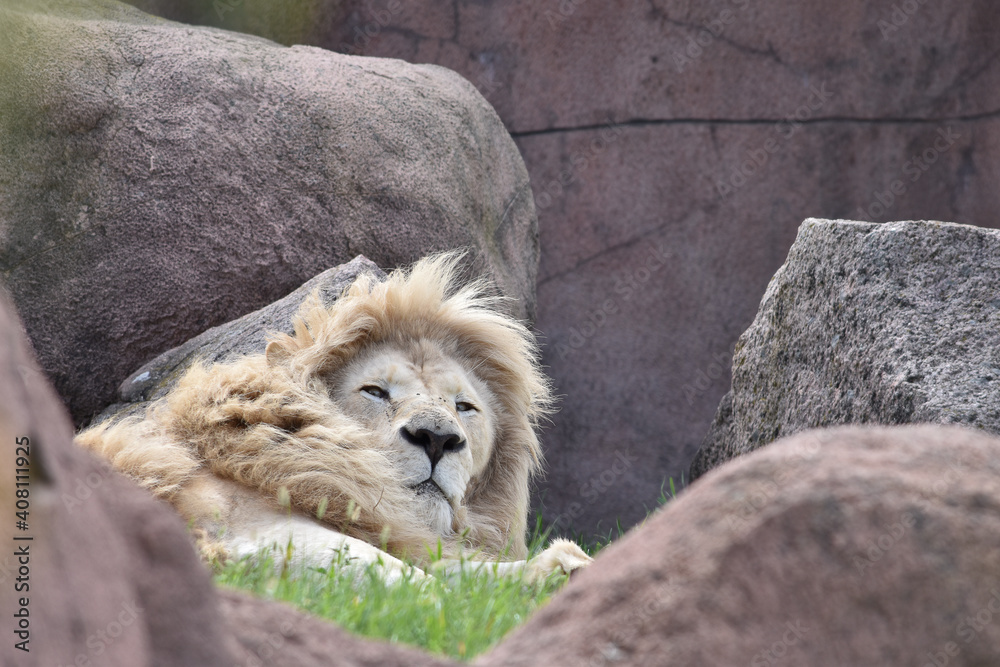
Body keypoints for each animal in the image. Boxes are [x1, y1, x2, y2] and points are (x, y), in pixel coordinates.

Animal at [76, 252, 591, 582]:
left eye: (464, 407)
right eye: (375, 392)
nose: (437, 438)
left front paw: (562, 568)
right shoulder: (257, 531)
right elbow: (425, 585)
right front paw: (562, 570)